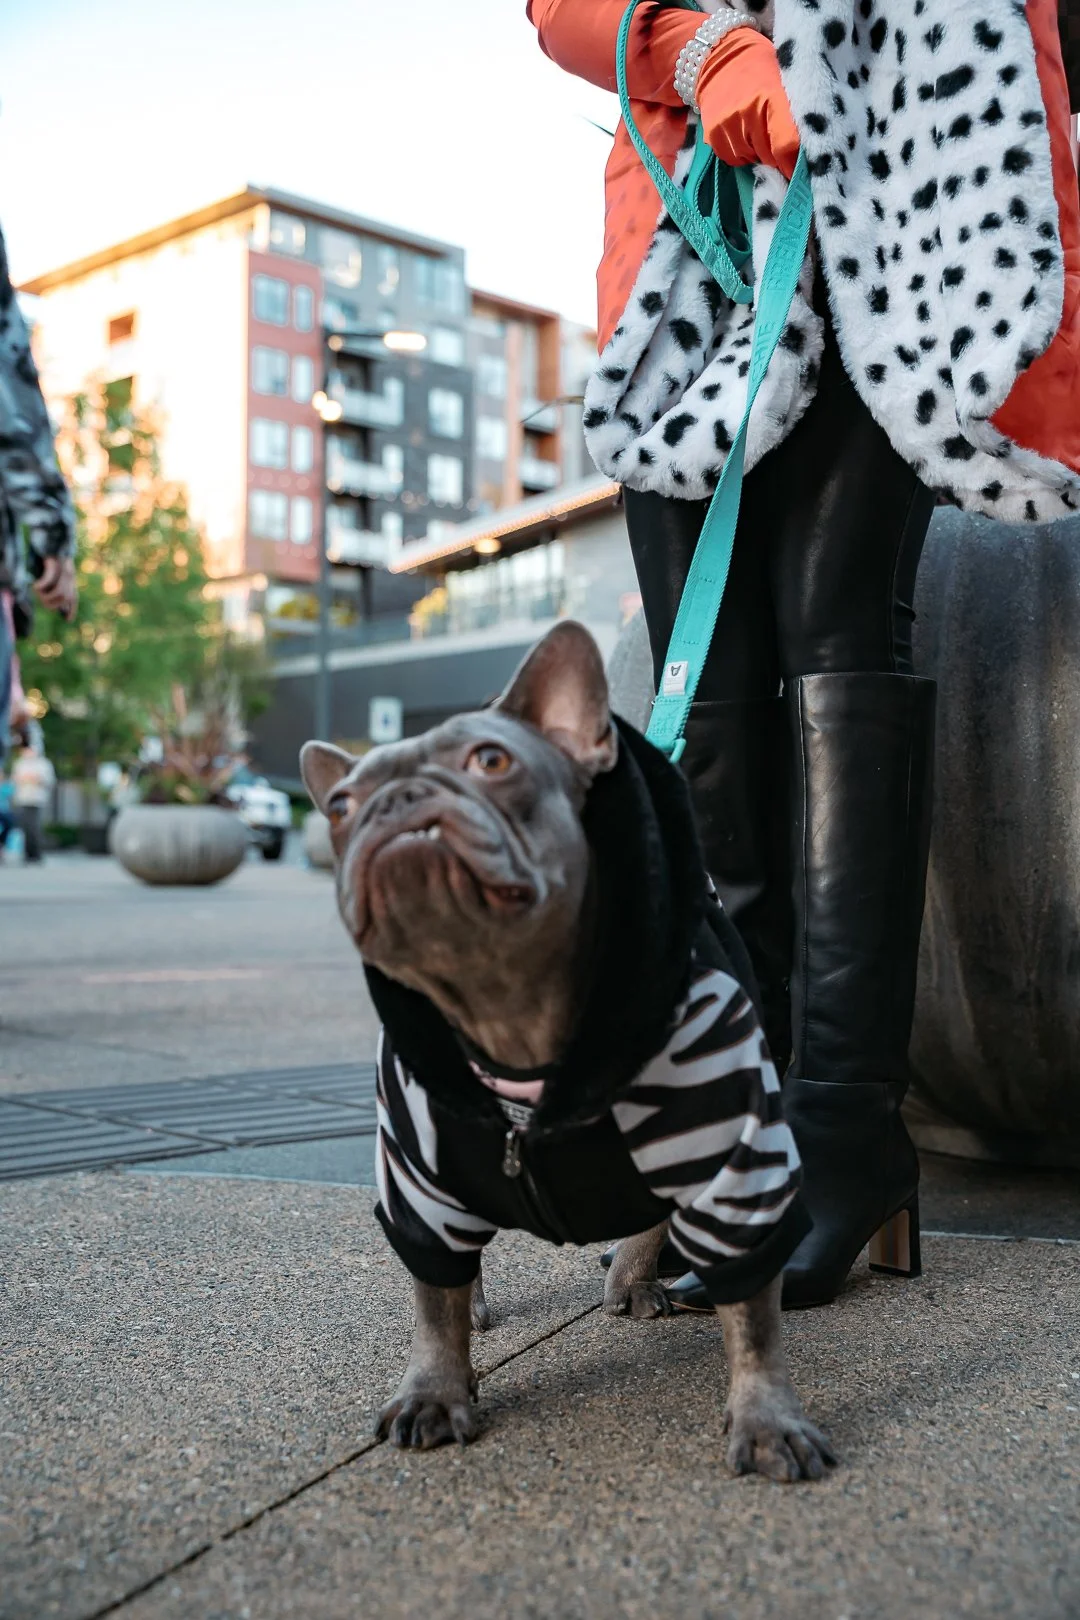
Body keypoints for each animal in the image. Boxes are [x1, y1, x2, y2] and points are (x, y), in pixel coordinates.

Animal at [301, 621, 834, 1482]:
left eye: (492, 761)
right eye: (342, 805)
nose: (398, 801)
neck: (509, 1009)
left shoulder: (734, 1168)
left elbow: (754, 1319)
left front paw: (767, 1421)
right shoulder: (418, 1181)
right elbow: (433, 1304)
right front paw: (433, 1390)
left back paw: (632, 1278)